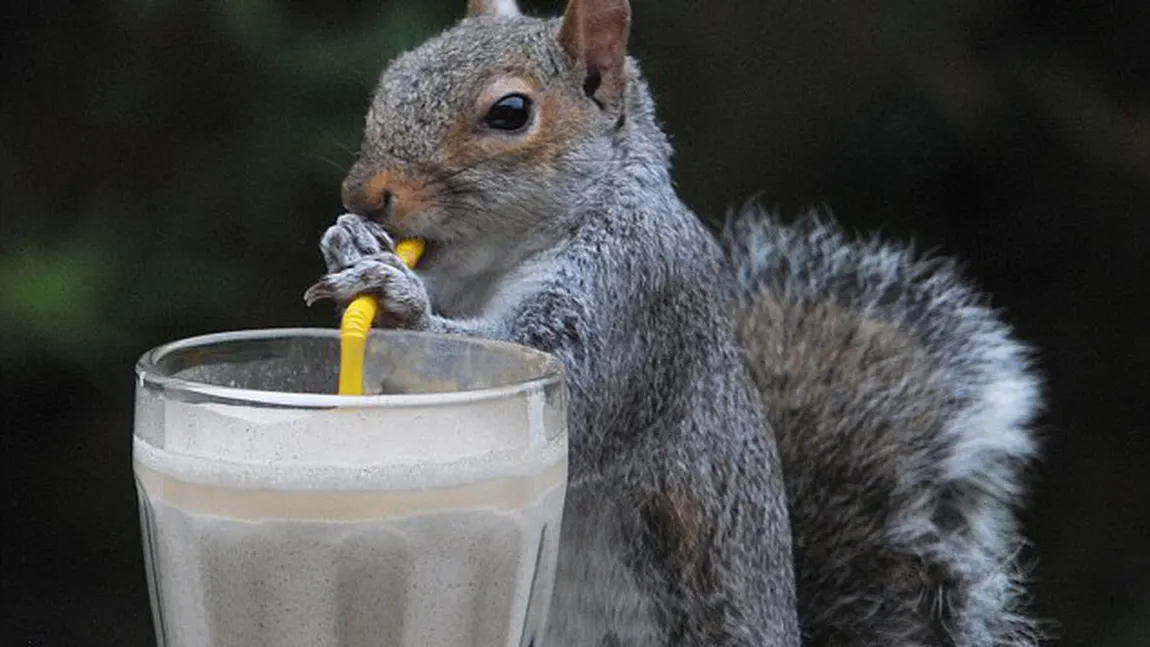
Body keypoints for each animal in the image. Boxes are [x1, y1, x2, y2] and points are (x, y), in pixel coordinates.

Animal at [303, 2, 1044, 643]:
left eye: (510, 112)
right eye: (393, 76)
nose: (362, 195)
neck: (502, 258)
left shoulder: (638, 295)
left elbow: (565, 383)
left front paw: (398, 300)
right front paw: (351, 244)